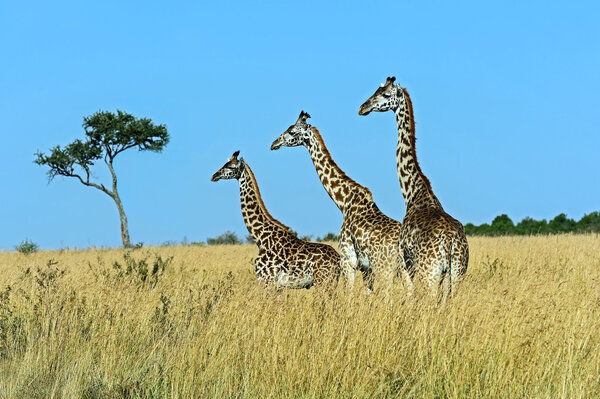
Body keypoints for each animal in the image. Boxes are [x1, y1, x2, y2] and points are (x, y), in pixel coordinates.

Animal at [213, 152, 340, 290]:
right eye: (225, 164)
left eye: (231, 167)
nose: (214, 176)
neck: (260, 238)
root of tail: (338, 259)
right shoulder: (276, 287)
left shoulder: (266, 281)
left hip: (323, 282)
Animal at [272, 112, 404, 290]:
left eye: (292, 131)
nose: (274, 144)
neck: (344, 202)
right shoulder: (366, 268)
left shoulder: (348, 260)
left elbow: (349, 292)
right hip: (403, 268)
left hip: (385, 266)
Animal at [356, 77, 468, 296]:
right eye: (376, 90)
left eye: (386, 94)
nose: (362, 107)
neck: (413, 193)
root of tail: (450, 242)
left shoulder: (404, 262)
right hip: (457, 274)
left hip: (429, 273)